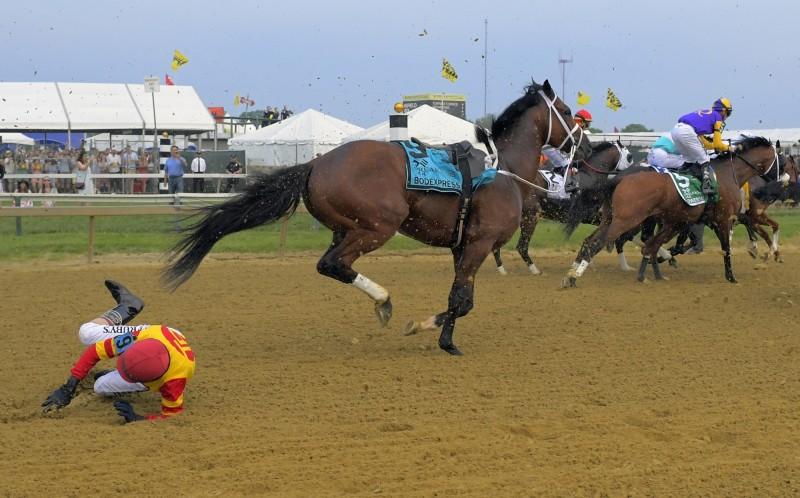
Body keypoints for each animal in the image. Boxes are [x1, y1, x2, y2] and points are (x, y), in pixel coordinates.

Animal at [162, 80, 592, 354]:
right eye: (567, 111)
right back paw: (384, 301)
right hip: (377, 226)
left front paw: (441, 335)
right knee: (334, 264)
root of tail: (317, 162)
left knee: (331, 264)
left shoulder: (462, 246)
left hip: (345, 227)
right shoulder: (478, 244)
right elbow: (461, 301)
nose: (586, 144)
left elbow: (461, 298)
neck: (502, 170)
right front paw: (432, 332)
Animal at [490, 141, 636, 276]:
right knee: (521, 246)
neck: (591, 176)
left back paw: (502, 270)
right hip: (531, 216)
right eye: (630, 156)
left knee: (497, 244)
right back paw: (535, 270)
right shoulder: (588, 214)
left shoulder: (590, 217)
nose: (633, 173)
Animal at [560, 135, 780, 288]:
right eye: (782, 161)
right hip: (626, 220)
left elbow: (656, 244)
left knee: (591, 240)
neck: (727, 174)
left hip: (611, 218)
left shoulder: (687, 221)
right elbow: (726, 247)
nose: (779, 184)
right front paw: (732, 276)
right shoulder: (722, 219)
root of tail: (619, 179)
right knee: (599, 243)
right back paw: (573, 277)